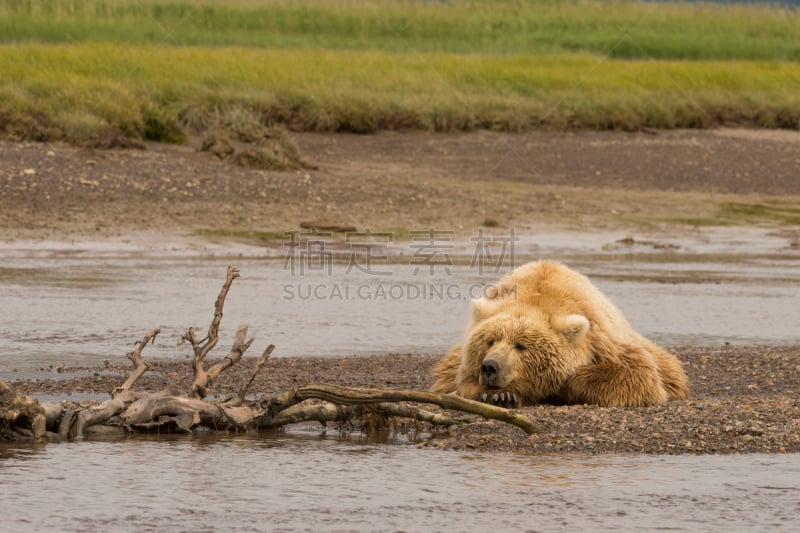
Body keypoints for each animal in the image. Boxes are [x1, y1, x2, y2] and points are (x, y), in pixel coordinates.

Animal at [432, 260, 688, 406]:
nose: (490, 367)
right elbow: (456, 381)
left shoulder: (603, 340)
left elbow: (638, 376)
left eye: (521, 345)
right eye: (490, 341)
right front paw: (497, 396)